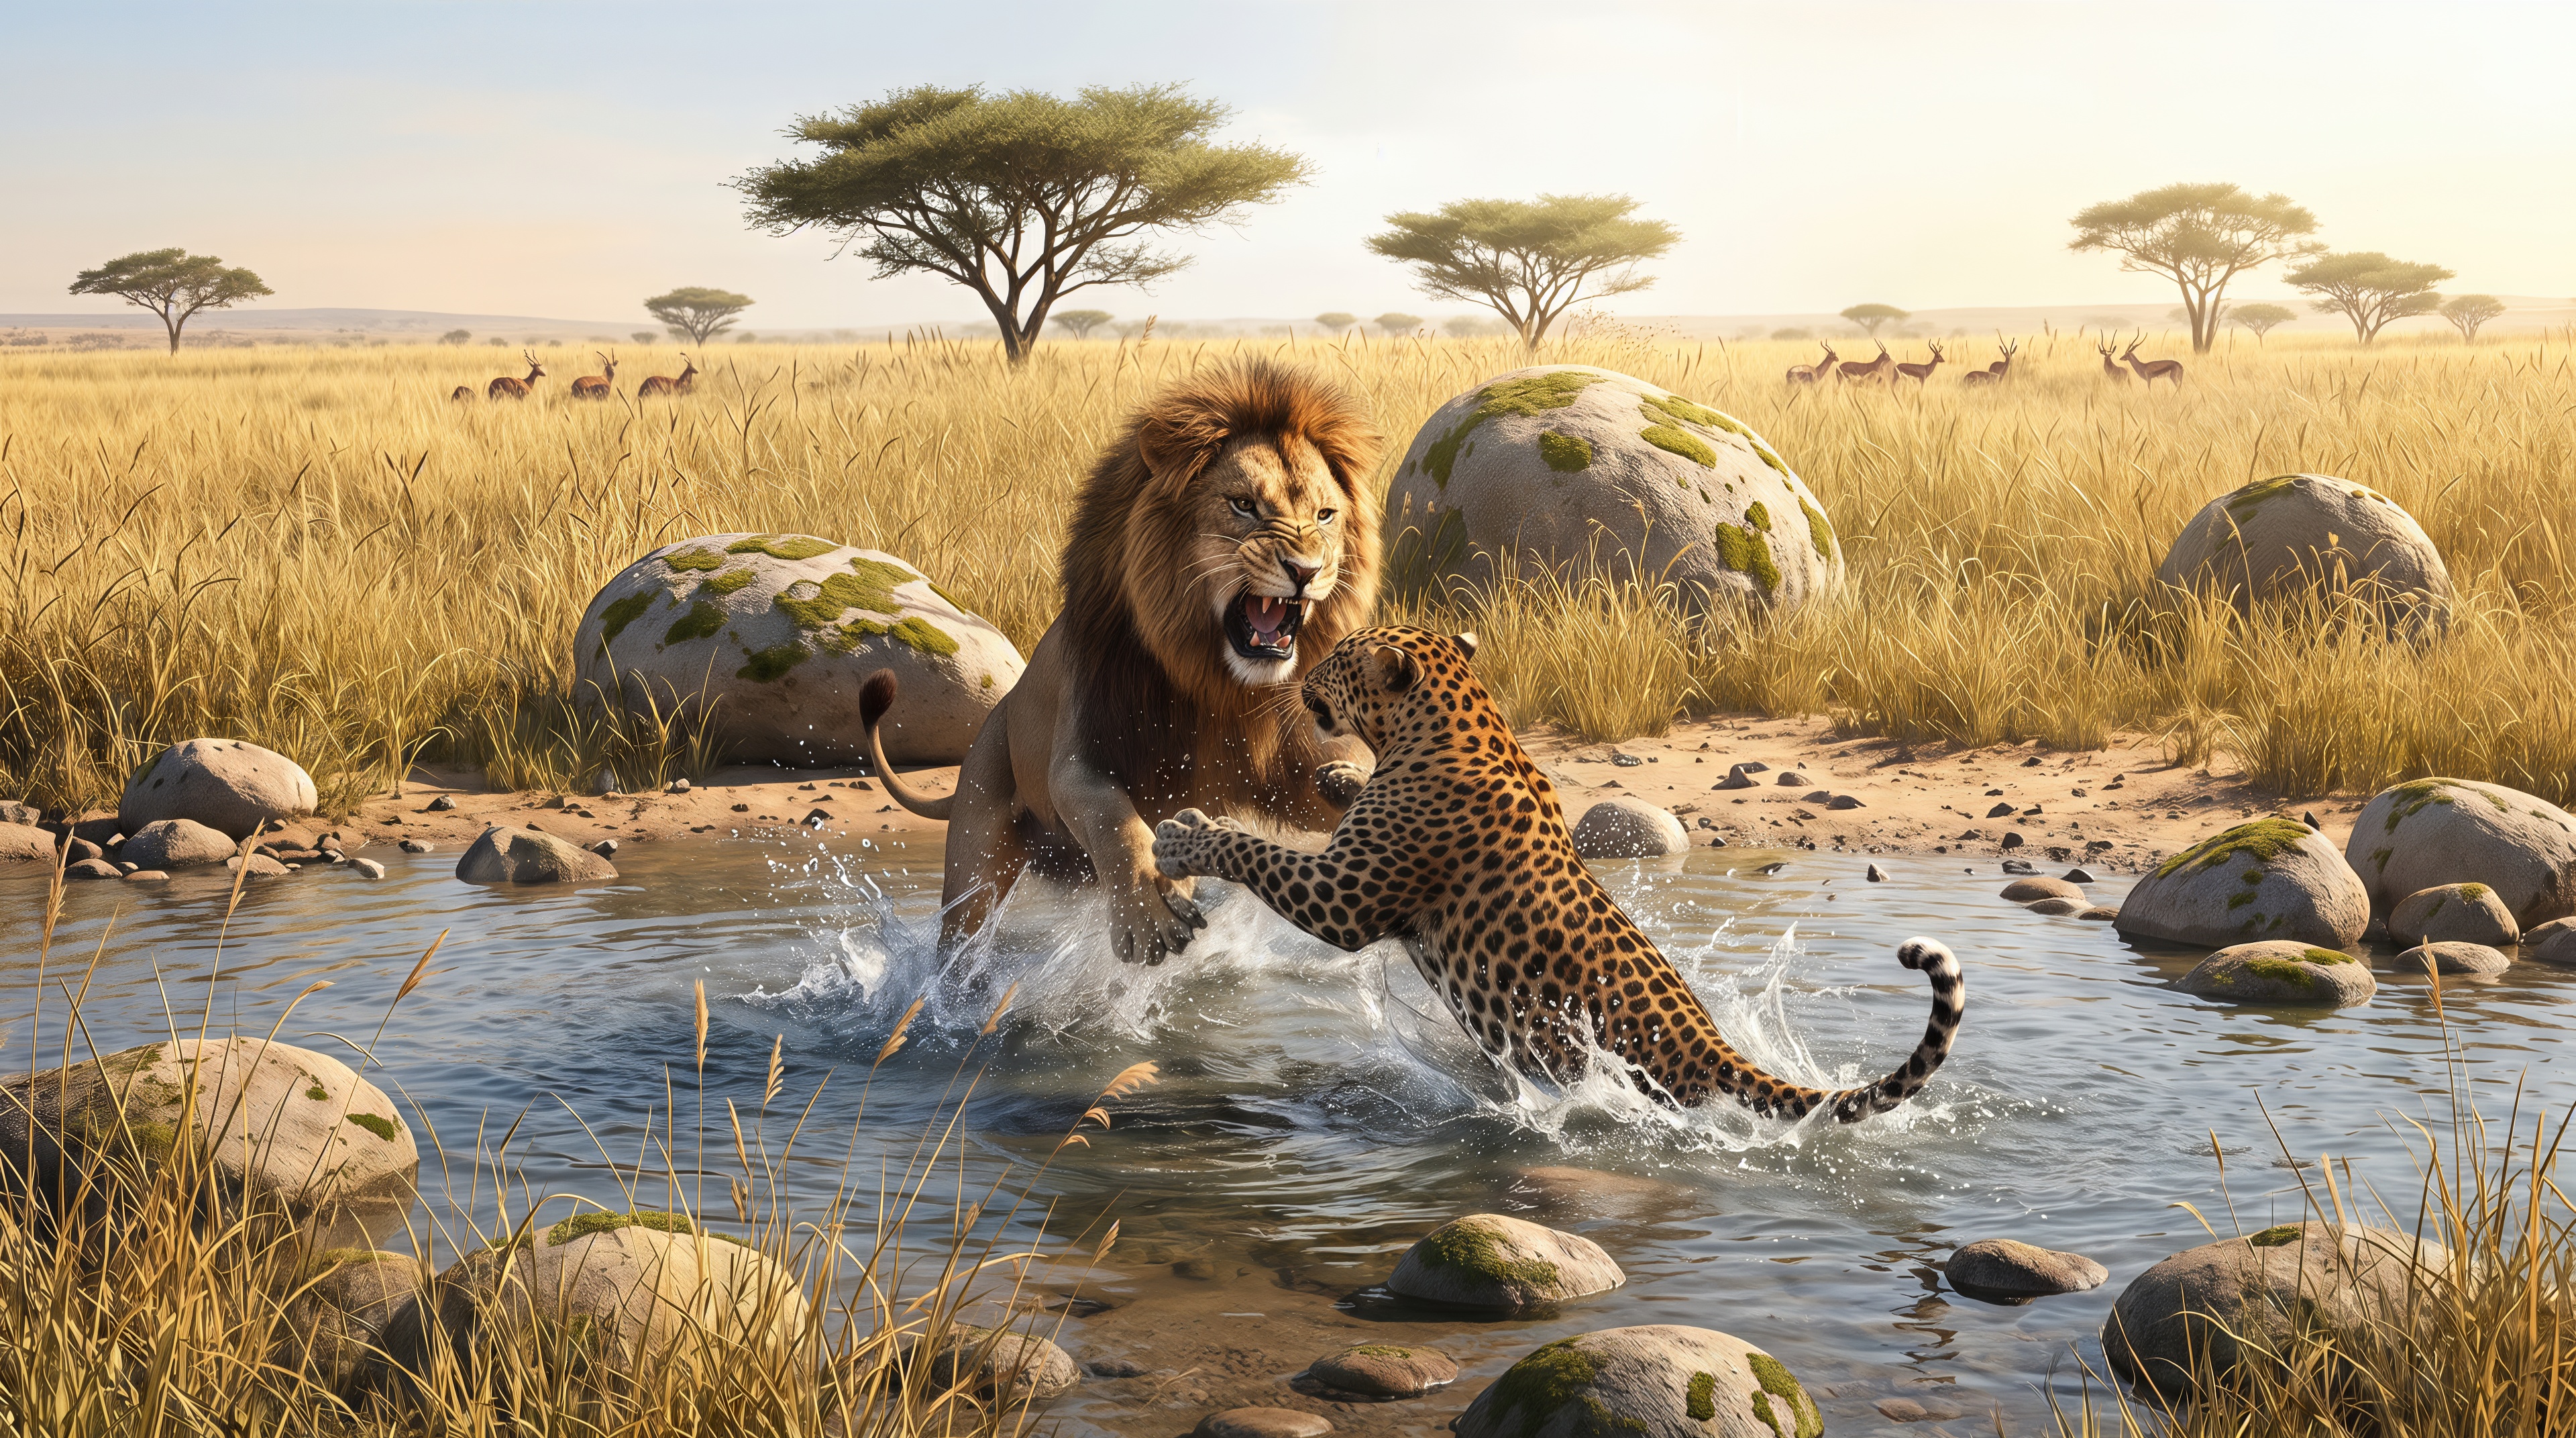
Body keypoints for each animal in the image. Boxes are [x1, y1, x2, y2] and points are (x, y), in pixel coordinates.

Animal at [860, 358, 1384, 963]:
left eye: (1325, 515)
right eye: (1243, 505)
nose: (1306, 569)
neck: (1220, 686)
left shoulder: (1293, 767)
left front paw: (1350, 782)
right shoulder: (1079, 759)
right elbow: (1113, 818)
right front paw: (1148, 910)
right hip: (975, 860)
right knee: (960, 940)